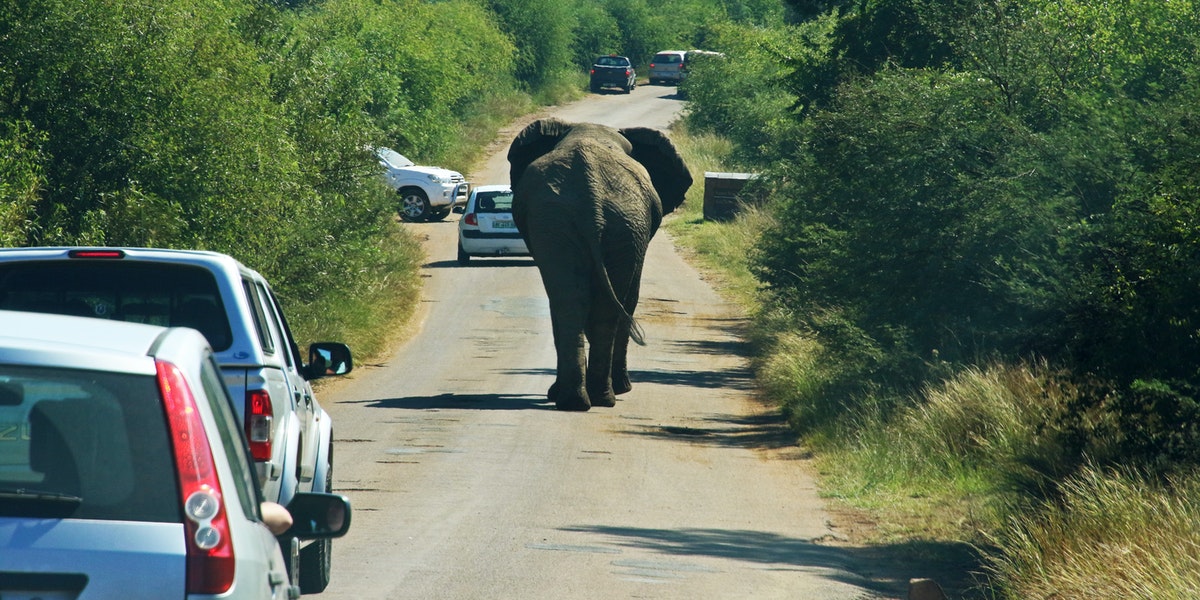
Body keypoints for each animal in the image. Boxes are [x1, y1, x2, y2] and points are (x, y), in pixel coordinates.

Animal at [506, 117, 696, 410]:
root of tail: (590, 197)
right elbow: (630, 298)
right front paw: (623, 388)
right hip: (615, 224)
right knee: (603, 305)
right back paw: (601, 397)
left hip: (567, 223)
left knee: (572, 302)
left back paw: (579, 400)